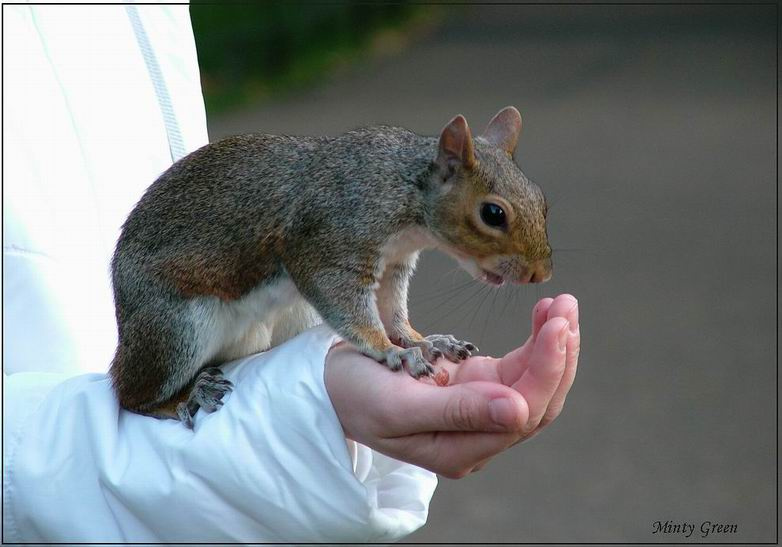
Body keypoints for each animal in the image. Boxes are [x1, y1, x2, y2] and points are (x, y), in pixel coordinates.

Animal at [109, 106, 552, 428]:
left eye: (541, 199)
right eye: (492, 213)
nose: (541, 274)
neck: (403, 190)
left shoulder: (394, 264)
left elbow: (393, 310)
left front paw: (423, 340)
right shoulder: (328, 245)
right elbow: (346, 306)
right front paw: (390, 351)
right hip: (174, 329)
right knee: (128, 395)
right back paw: (185, 396)